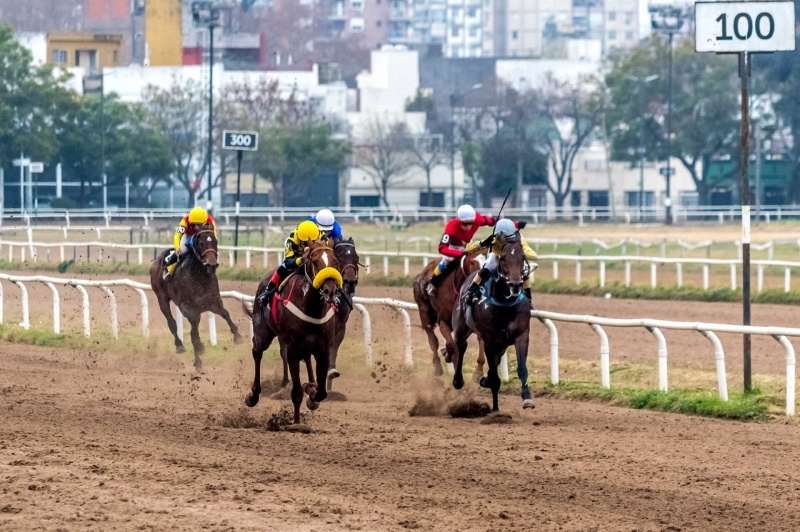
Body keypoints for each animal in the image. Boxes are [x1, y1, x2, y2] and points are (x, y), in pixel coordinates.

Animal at [150, 227, 242, 372]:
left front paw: (237, 336)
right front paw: (198, 352)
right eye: (201, 244)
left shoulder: (213, 302)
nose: (211, 265)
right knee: (172, 322)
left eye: (215, 241)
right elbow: (193, 331)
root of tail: (157, 260)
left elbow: (225, 313)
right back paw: (180, 346)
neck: (199, 276)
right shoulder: (188, 308)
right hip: (162, 297)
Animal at [244, 241, 344, 424]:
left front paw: (312, 394)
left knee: (308, 360)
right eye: (315, 262)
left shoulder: (323, 350)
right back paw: (253, 395)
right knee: (257, 352)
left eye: (335, 262)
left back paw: (310, 385)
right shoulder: (292, 349)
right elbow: (296, 393)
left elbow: (322, 392)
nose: (330, 290)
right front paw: (296, 423)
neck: (312, 309)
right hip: (263, 333)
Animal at [412, 248, 488, 378]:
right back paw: (438, 367)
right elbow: (452, 346)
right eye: (472, 262)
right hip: (424, 311)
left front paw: (478, 372)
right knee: (433, 340)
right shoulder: (444, 321)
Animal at [450, 235, 532, 414]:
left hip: (502, 344)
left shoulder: (521, 336)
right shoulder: (489, 340)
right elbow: (494, 377)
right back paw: (458, 381)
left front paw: (527, 397)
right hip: (461, 327)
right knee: (461, 346)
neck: (504, 304)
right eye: (503, 258)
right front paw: (494, 410)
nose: (515, 284)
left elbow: (522, 368)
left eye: (523, 258)